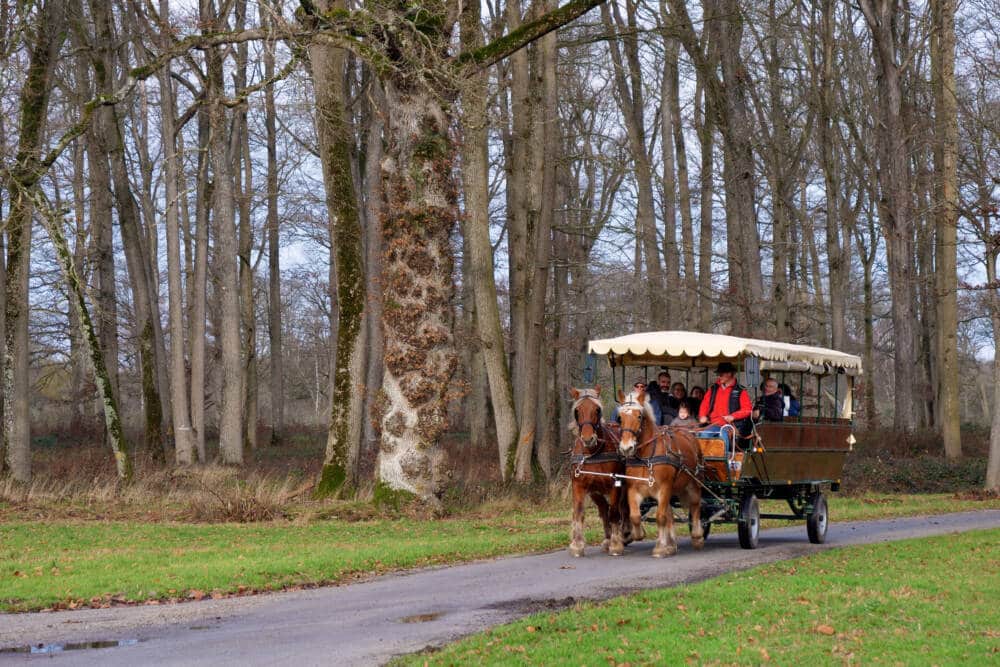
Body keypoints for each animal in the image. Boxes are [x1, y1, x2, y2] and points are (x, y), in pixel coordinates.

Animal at [572, 386, 624, 560]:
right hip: (596, 492)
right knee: (603, 509)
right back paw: (608, 539)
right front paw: (577, 545)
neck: (593, 452)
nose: (588, 439)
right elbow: (579, 513)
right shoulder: (580, 486)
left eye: (597, 410)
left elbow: (614, 513)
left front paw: (616, 545)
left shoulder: (616, 485)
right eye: (577, 411)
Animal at [608, 386, 704, 560]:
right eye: (620, 418)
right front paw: (637, 534)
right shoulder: (633, 489)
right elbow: (635, 516)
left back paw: (697, 536)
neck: (647, 456)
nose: (626, 448)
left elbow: (660, 517)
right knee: (670, 514)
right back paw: (671, 545)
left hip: (693, 484)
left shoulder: (664, 488)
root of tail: (688, 434)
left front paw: (660, 548)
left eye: (639, 416)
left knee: (695, 506)